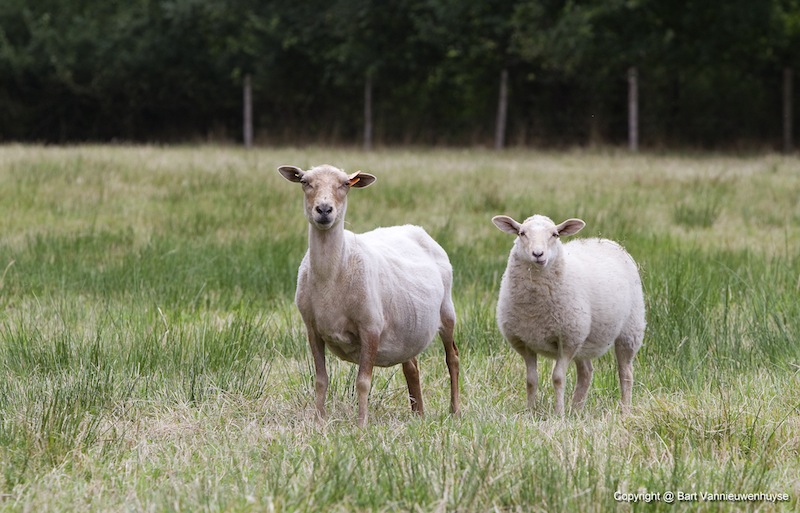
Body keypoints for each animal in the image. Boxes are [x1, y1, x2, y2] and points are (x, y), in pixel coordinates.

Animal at [278, 164, 460, 427]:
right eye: (305, 182)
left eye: (345, 184)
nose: (324, 210)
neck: (330, 279)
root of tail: (417, 230)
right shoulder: (313, 329)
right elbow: (321, 380)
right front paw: (319, 422)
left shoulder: (371, 327)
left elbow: (363, 382)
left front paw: (361, 425)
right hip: (408, 327)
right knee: (412, 367)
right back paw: (418, 415)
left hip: (447, 311)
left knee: (452, 358)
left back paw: (455, 410)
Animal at [491, 214, 645, 415]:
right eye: (522, 233)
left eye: (555, 234)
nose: (538, 254)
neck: (534, 310)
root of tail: (607, 241)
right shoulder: (524, 343)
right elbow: (531, 380)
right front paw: (530, 411)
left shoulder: (567, 341)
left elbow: (558, 378)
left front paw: (559, 413)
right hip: (584, 341)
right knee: (586, 372)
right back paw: (576, 410)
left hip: (630, 330)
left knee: (625, 373)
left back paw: (625, 411)